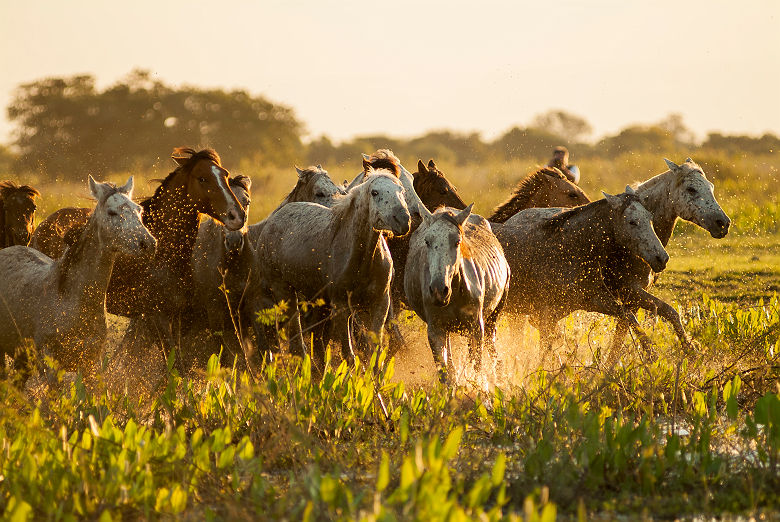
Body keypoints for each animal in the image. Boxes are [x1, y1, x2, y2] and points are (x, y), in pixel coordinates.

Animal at [0, 175, 155, 378]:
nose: (148, 243)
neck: (70, 299)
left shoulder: (91, 365)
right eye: (112, 212)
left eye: (139, 209)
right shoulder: (51, 367)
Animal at [402, 203, 512, 382]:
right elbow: (446, 374)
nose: (439, 290)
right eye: (427, 241)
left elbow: (476, 367)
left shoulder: (476, 327)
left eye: (457, 241)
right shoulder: (435, 330)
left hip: (494, 315)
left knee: (492, 346)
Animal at [496, 187, 668, 362]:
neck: (569, 249)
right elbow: (545, 353)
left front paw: (652, 353)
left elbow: (630, 316)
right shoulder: (545, 315)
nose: (661, 257)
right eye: (632, 222)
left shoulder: (593, 300)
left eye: (650, 217)